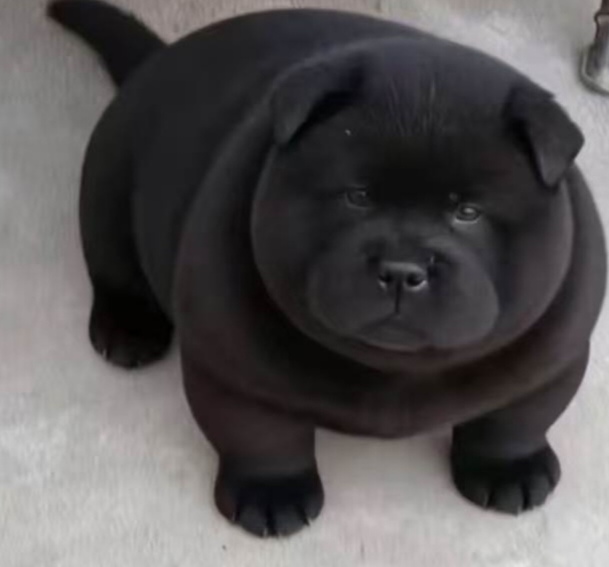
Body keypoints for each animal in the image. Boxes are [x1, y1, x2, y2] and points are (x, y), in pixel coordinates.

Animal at [49, 0, 606, 537]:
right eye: (357, 197)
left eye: (468, 212)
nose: (402, 268)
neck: (396, 369)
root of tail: (159, 59)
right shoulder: (234, 366)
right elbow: (260, 434)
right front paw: (272, 496)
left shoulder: (554, 354)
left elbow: (518, 418)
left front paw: (510, 471)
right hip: (107, 180)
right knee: (112, 262)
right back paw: (128, 330)